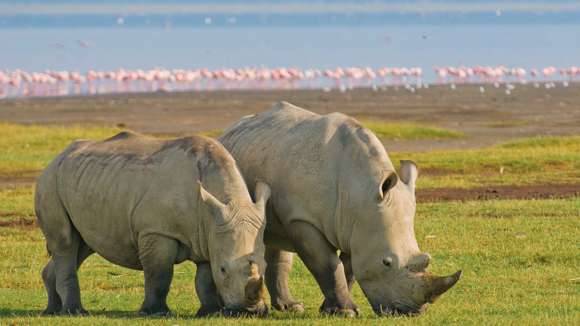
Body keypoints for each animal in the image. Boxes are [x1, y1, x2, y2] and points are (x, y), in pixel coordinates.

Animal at [35, 131, 270, 318]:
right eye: (223, 269)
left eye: (266, 266)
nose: (250, 312)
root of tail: (58, 156)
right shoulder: (157, 231)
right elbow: (159, 274)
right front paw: (155, 312)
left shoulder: (209, 233)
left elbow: (205, 279)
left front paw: (209, 312)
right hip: (50, 180)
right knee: (66, 243)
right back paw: (75, 311)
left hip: (85, 180)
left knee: (81, 246)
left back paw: (52, 310)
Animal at [220, 102, 464, 316]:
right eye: (386, 263)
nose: (409, 312)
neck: (360, 190)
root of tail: (233, 127)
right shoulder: (303, 219)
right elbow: (329, 265)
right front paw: (346, 311)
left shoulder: (357, 224)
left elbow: (349, 268)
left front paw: (331, 309)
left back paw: (292, 307)